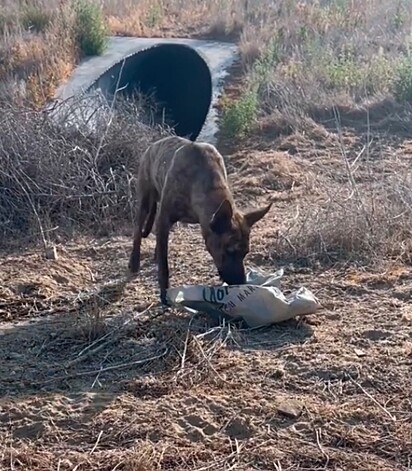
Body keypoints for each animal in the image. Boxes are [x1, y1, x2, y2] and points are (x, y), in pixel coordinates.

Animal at [128, 136, 270, 306]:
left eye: (245, 253)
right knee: (137, 230)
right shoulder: (164, 218)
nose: (241, 282)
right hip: (144, 200)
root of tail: (152, 146)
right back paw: (134, 261)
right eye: (229, 251)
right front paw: (164, 293)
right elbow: (164, 267)